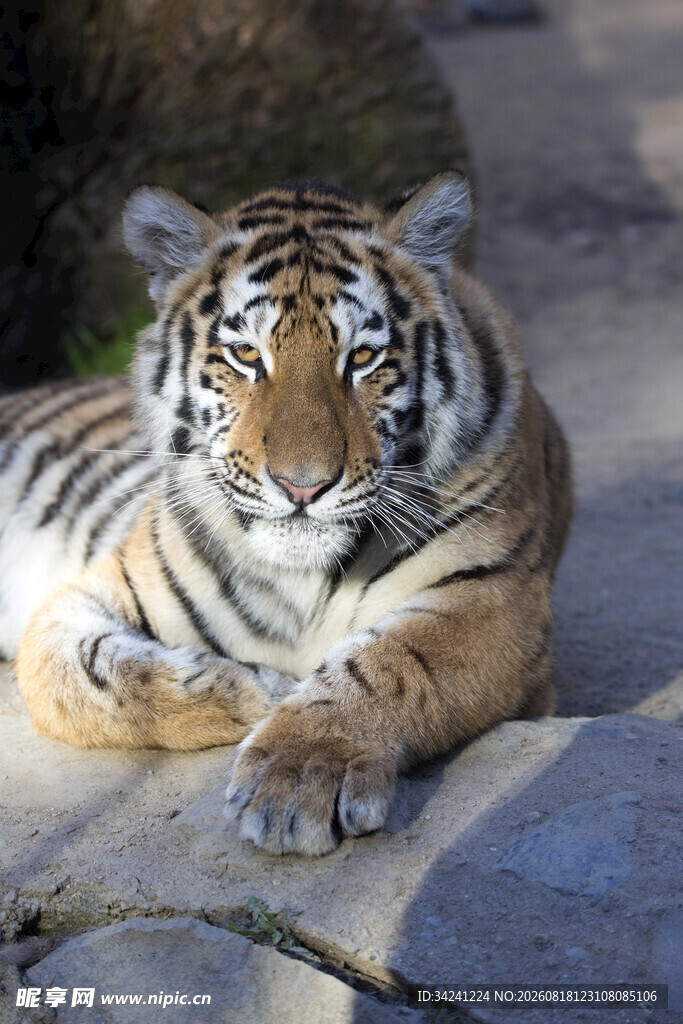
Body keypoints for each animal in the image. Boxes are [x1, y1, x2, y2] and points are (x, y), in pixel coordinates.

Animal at [0, 173, 572, 855]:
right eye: (247, 355)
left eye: (362, 359)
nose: (304, 487)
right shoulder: (96, 589)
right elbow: (75, 678)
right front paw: (257, 691)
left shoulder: (497, 596)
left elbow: (391, 665)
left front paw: (299, 776)